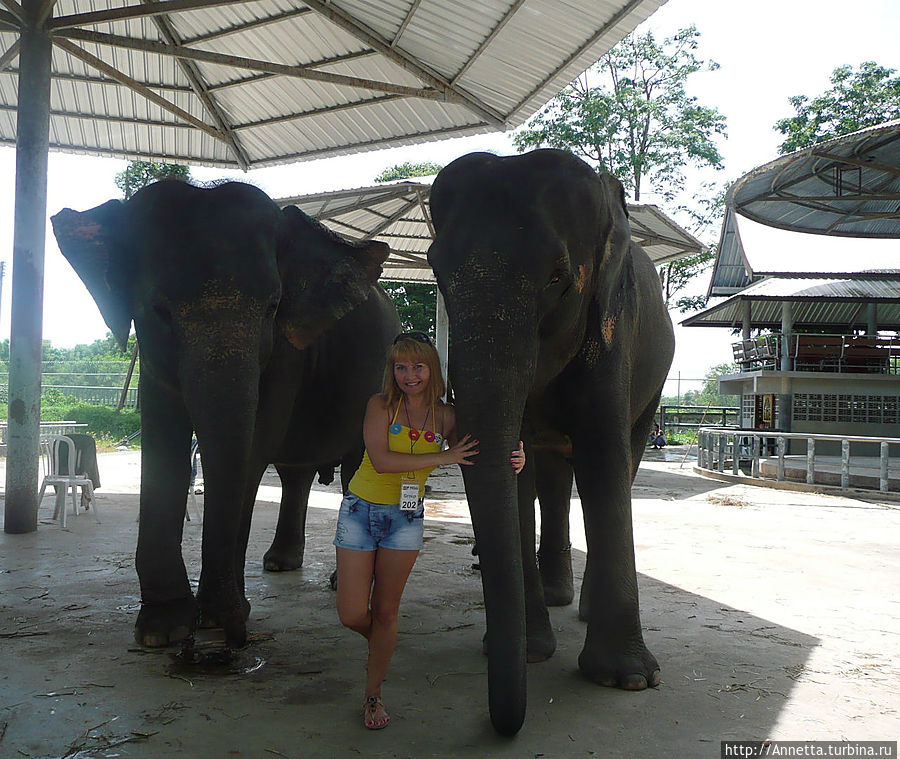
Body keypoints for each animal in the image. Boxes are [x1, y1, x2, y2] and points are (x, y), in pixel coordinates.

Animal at [51, 181, 398, 652]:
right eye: (159, 311)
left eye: (272, 306)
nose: (235, 636)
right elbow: (164, 443)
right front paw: (164, 630)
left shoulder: (287, 351)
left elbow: (252, 448)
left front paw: (215, 616)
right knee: (296, 473)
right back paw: (279, 565)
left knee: (355, 467)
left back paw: (336, 583)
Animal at [428, 148, 676, 736]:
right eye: (437, 275)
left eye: (559, 277)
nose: (506, 725)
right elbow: (518, 473)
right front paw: (528, 651)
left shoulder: (614, 322)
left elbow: (604, 457)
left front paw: (628, 679)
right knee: (553, 479)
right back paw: (557, 594)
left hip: (654, 381)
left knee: (620, 461)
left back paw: (580, 607)